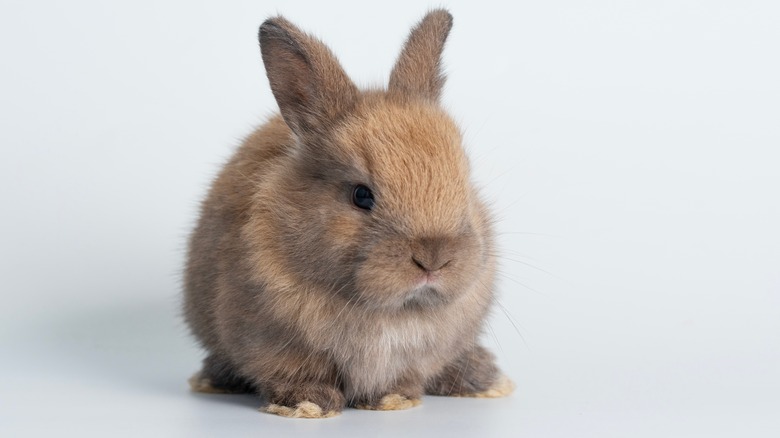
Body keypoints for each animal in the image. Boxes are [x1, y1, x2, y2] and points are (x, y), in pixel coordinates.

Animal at [181, 8, 512, 420]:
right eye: (361, 196)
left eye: (463, 183)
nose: (434, 259)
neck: (390, 311)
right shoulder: (269, 339)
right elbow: (293, 371)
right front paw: (308, 403)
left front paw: (392, 399)